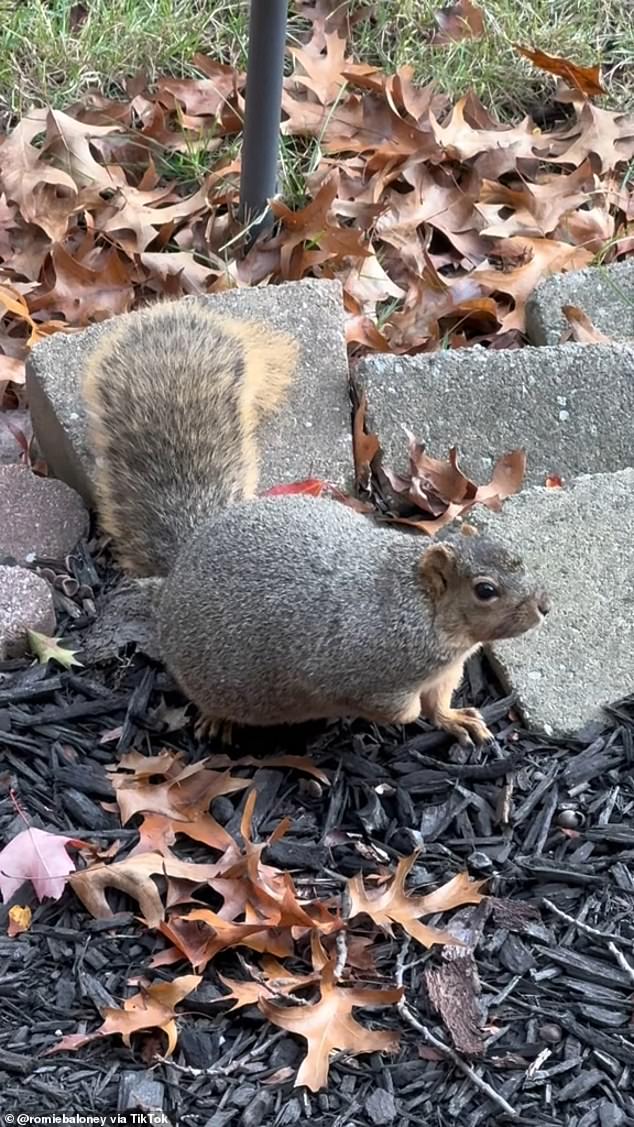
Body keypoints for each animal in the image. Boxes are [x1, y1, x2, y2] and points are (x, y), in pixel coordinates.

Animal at [83, 297, 551, 748]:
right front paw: (396, 717)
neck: (420, 607)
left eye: (516, 556)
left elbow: (437, 705)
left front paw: (457, 719)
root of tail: (184, 558)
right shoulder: (370, 674)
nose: (544, 606)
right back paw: (218, 720)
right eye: (485, 591)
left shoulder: (446, 672)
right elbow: (400, 710)